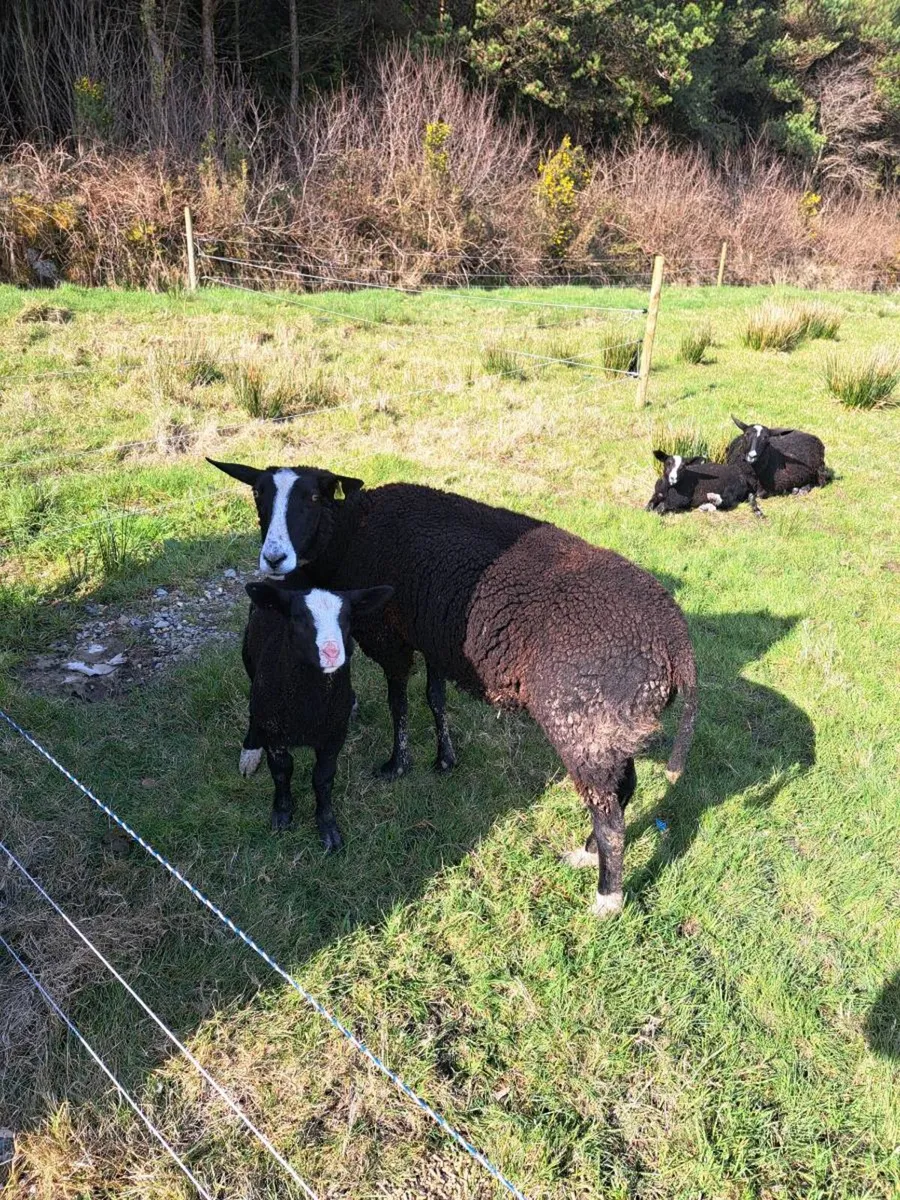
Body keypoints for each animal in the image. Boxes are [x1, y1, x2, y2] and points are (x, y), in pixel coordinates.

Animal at [240, 580, 393, 845]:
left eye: (347, 618)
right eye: (297, 617)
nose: (332, 652)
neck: (308, 707)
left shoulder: (333, 736)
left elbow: (323, 778)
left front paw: (328, 827)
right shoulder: (275, 732)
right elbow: (281, 771)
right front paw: (282, 814)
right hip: (248, 656)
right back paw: (250, 749)